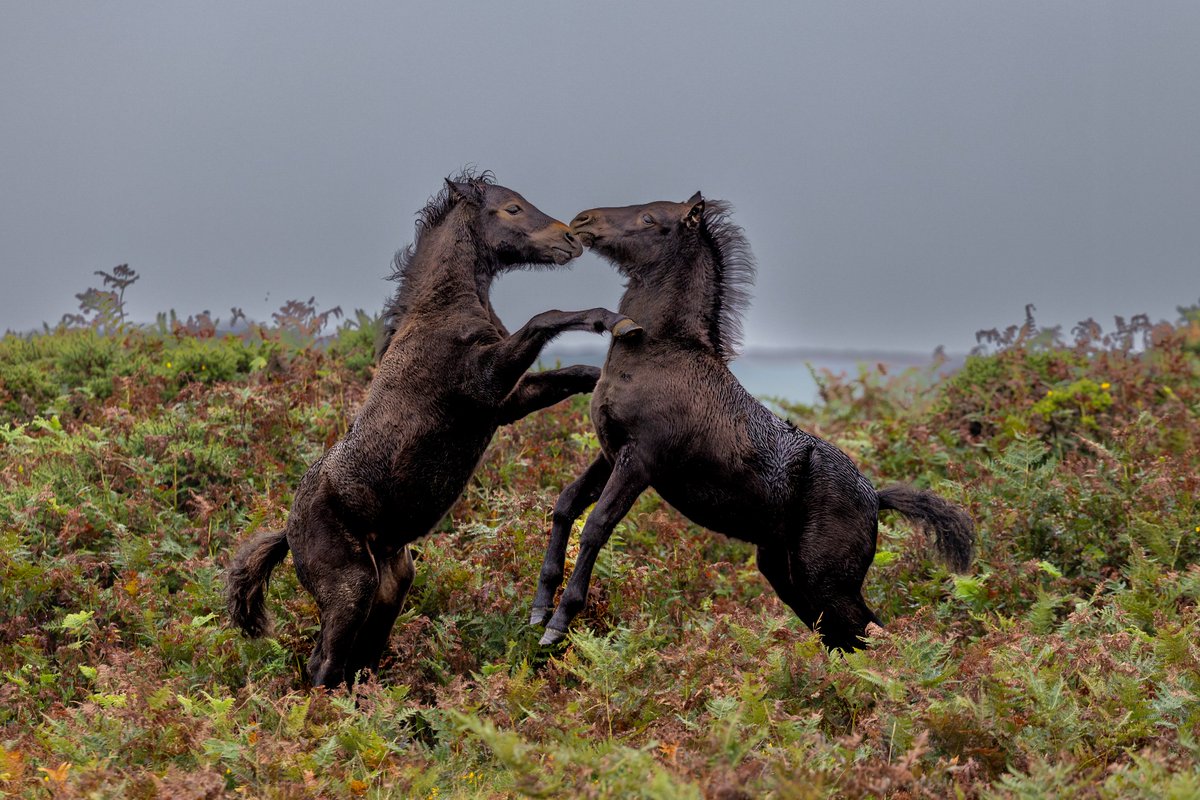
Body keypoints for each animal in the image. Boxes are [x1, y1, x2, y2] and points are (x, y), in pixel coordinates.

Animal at [226, 171, 641, 687]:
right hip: (350, 588)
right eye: (512, 209)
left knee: (358, 661)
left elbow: (575, 373)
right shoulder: (484, 383)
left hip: (390, 588)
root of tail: (287, 531)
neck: (442, 311)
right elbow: (544, 319)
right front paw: (612, 320)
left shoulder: (504, 403)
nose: (570, 239)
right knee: (324, 665)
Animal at [530, 193, 974, 650]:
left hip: (827, 579)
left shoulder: (640, 461)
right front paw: (538, 606)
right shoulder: (610, 452)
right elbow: (566, 504)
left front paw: (556, 625)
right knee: (844, 639)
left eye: (650, 218)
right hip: (790, 577)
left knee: (873, 635)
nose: (582, 221)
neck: (658, 353)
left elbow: (596, 524)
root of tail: (876, 498)